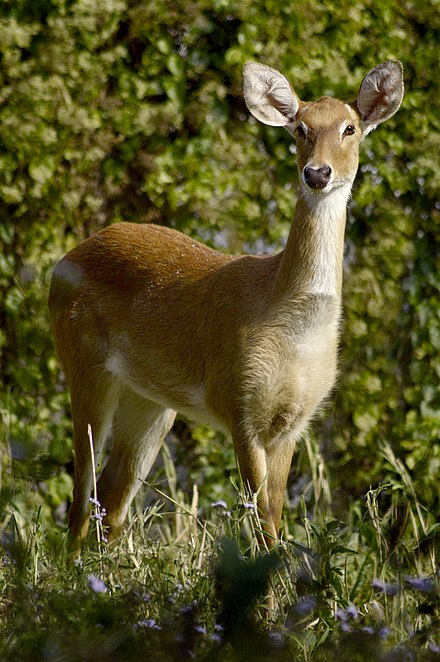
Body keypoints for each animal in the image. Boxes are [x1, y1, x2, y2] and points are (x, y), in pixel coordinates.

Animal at [48, 62, 402, 560]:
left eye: (349, 128)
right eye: (300, 128)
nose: (317, 173)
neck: (291, 322)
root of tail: (64, 260)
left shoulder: (293, 424)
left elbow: (274, 518)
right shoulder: (240, 402)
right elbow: (261, 524)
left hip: (152, 401)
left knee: (111, 503)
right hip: (83, 364)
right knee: (82, 498)